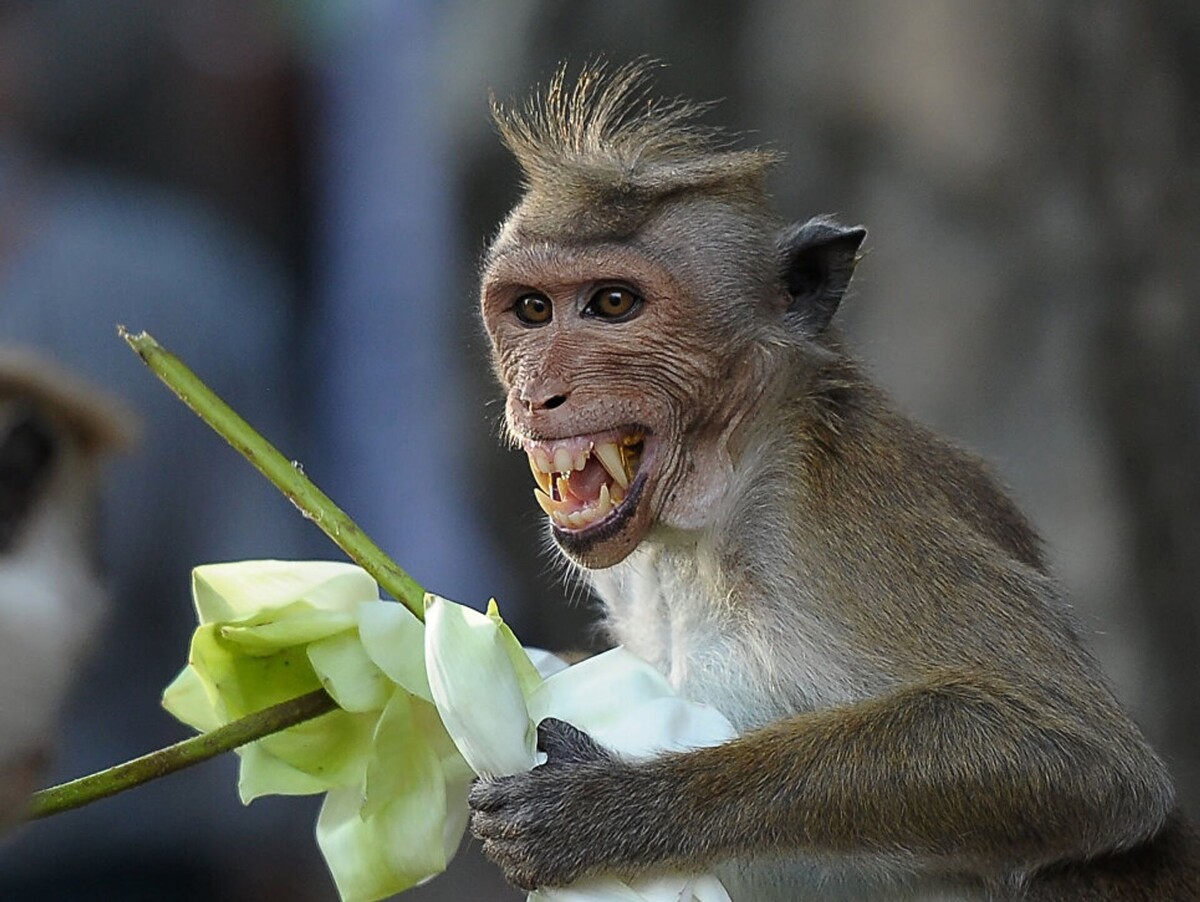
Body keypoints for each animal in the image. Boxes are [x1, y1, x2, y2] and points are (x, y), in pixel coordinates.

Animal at [468, 59, 1200, 897]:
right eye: (532, 309)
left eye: (613, 303)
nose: (538, 395)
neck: (721, 498)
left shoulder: (833, 522)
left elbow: (1082, 756)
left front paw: (600, 809)